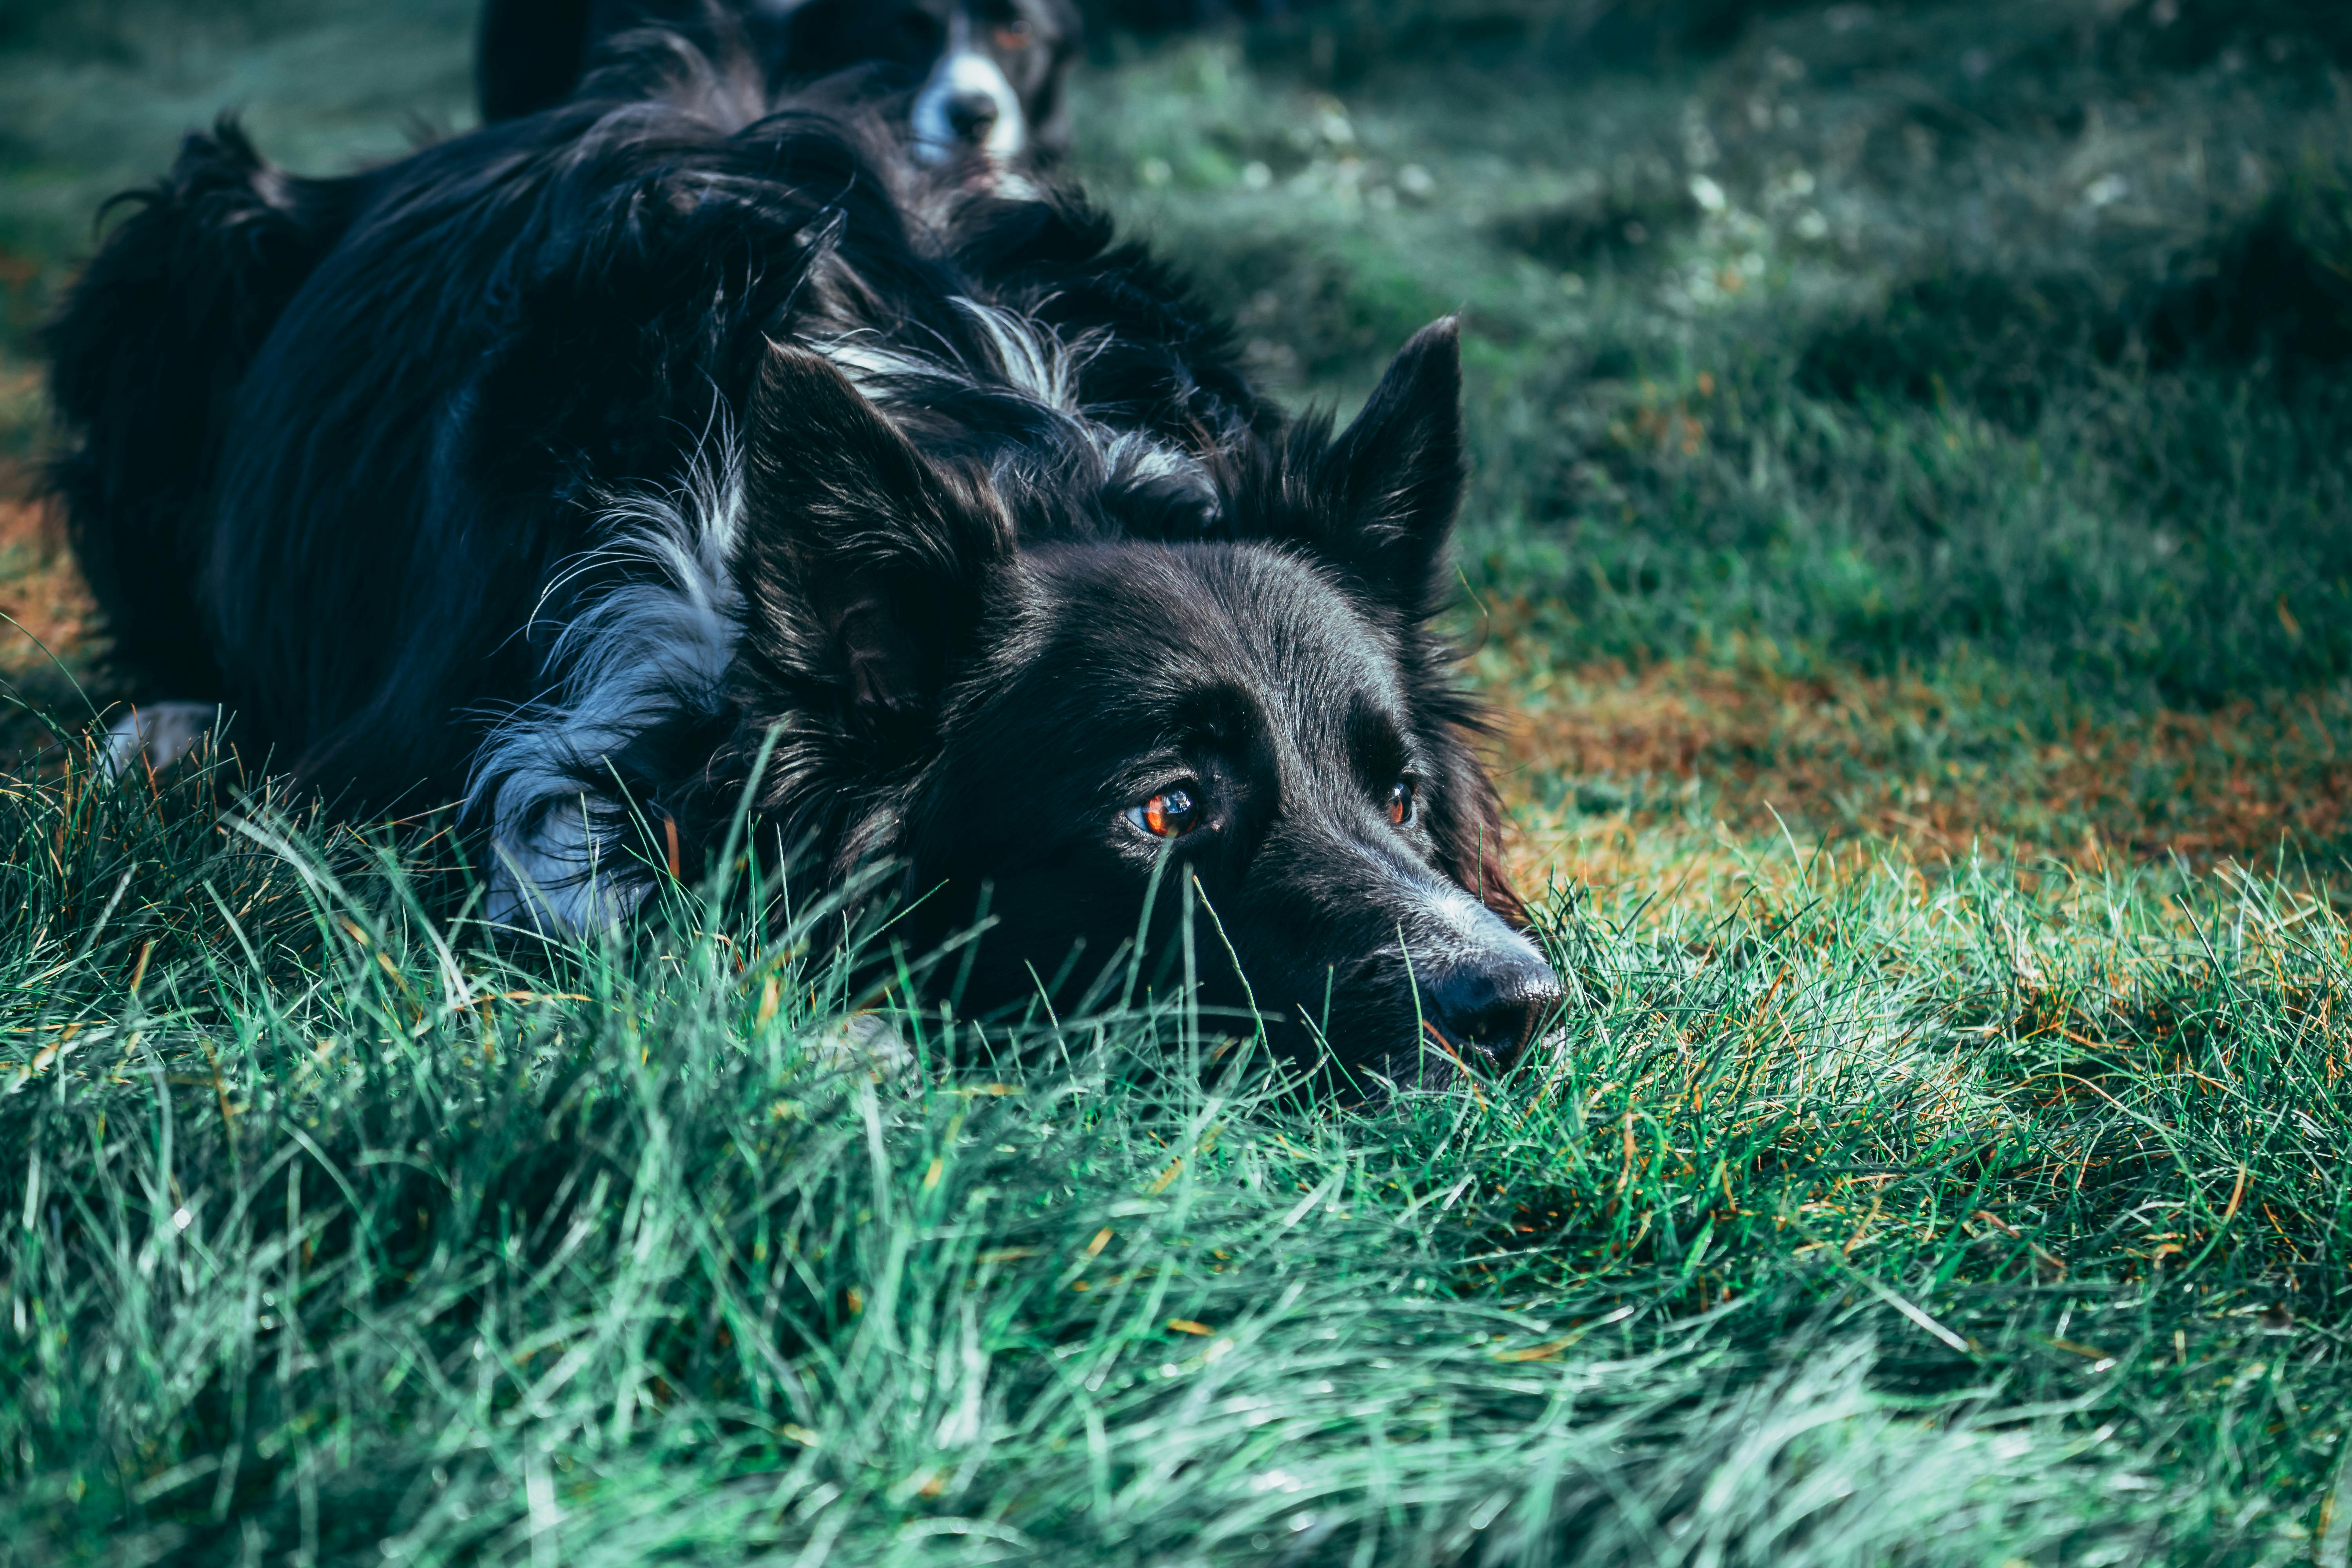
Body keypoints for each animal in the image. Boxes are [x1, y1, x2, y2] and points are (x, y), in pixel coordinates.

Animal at [41, 24, 1562, 1086]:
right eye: (1166, 810)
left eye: (1402, 796)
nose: (1518, 1008)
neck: (1009, 446)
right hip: (187, 240)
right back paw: (166, 729)